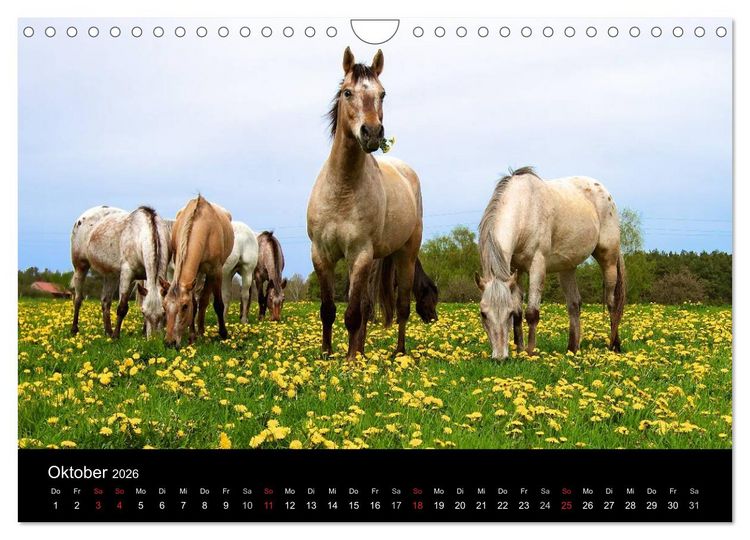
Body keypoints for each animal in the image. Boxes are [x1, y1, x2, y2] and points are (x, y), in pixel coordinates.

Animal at [70, 206, 171, 338]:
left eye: (164, 313)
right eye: (143, 312)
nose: (154, 339)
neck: (140, 235)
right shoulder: (126, 275)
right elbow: (122, 307)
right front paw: (116, 337)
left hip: (111, 276)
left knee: (105, 301)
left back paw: (108, 332)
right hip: (80, 267)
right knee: (78, 299)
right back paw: (74, 330)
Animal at [162, 195, 234, 348]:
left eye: (184, 306)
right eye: (164, 306)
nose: (170, 342)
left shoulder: (216, 271)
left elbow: (218, 304)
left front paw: (223, 334)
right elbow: (195, 304)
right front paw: (192, 336)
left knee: (205, 300)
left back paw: (203, 331)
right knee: (201, 301)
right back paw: (199, 332)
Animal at [306, 47, 424, 360]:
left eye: (382, 93)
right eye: (347, 92)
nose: (372, 133)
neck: (342, 190)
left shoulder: (359, 255)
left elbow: (353, 314)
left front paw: (349, 360)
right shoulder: (321, 255)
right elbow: (328, 310)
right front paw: (327, 354)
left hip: (405, 256)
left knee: (402, 308)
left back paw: (398, 352)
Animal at [475, 166, 625, 359]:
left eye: (507, 313)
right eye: (483, 314)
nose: (500, 357)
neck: (525, 209)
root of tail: (604, 191)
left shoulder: (537, 265)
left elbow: (531, 313)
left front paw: (530, 352)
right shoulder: (516, 270)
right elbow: (519, 313)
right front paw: (519, 350)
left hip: (608, 260)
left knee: (612, 303)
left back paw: (614, 346)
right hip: (568, 268)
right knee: (574, 305)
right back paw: (572, 349)